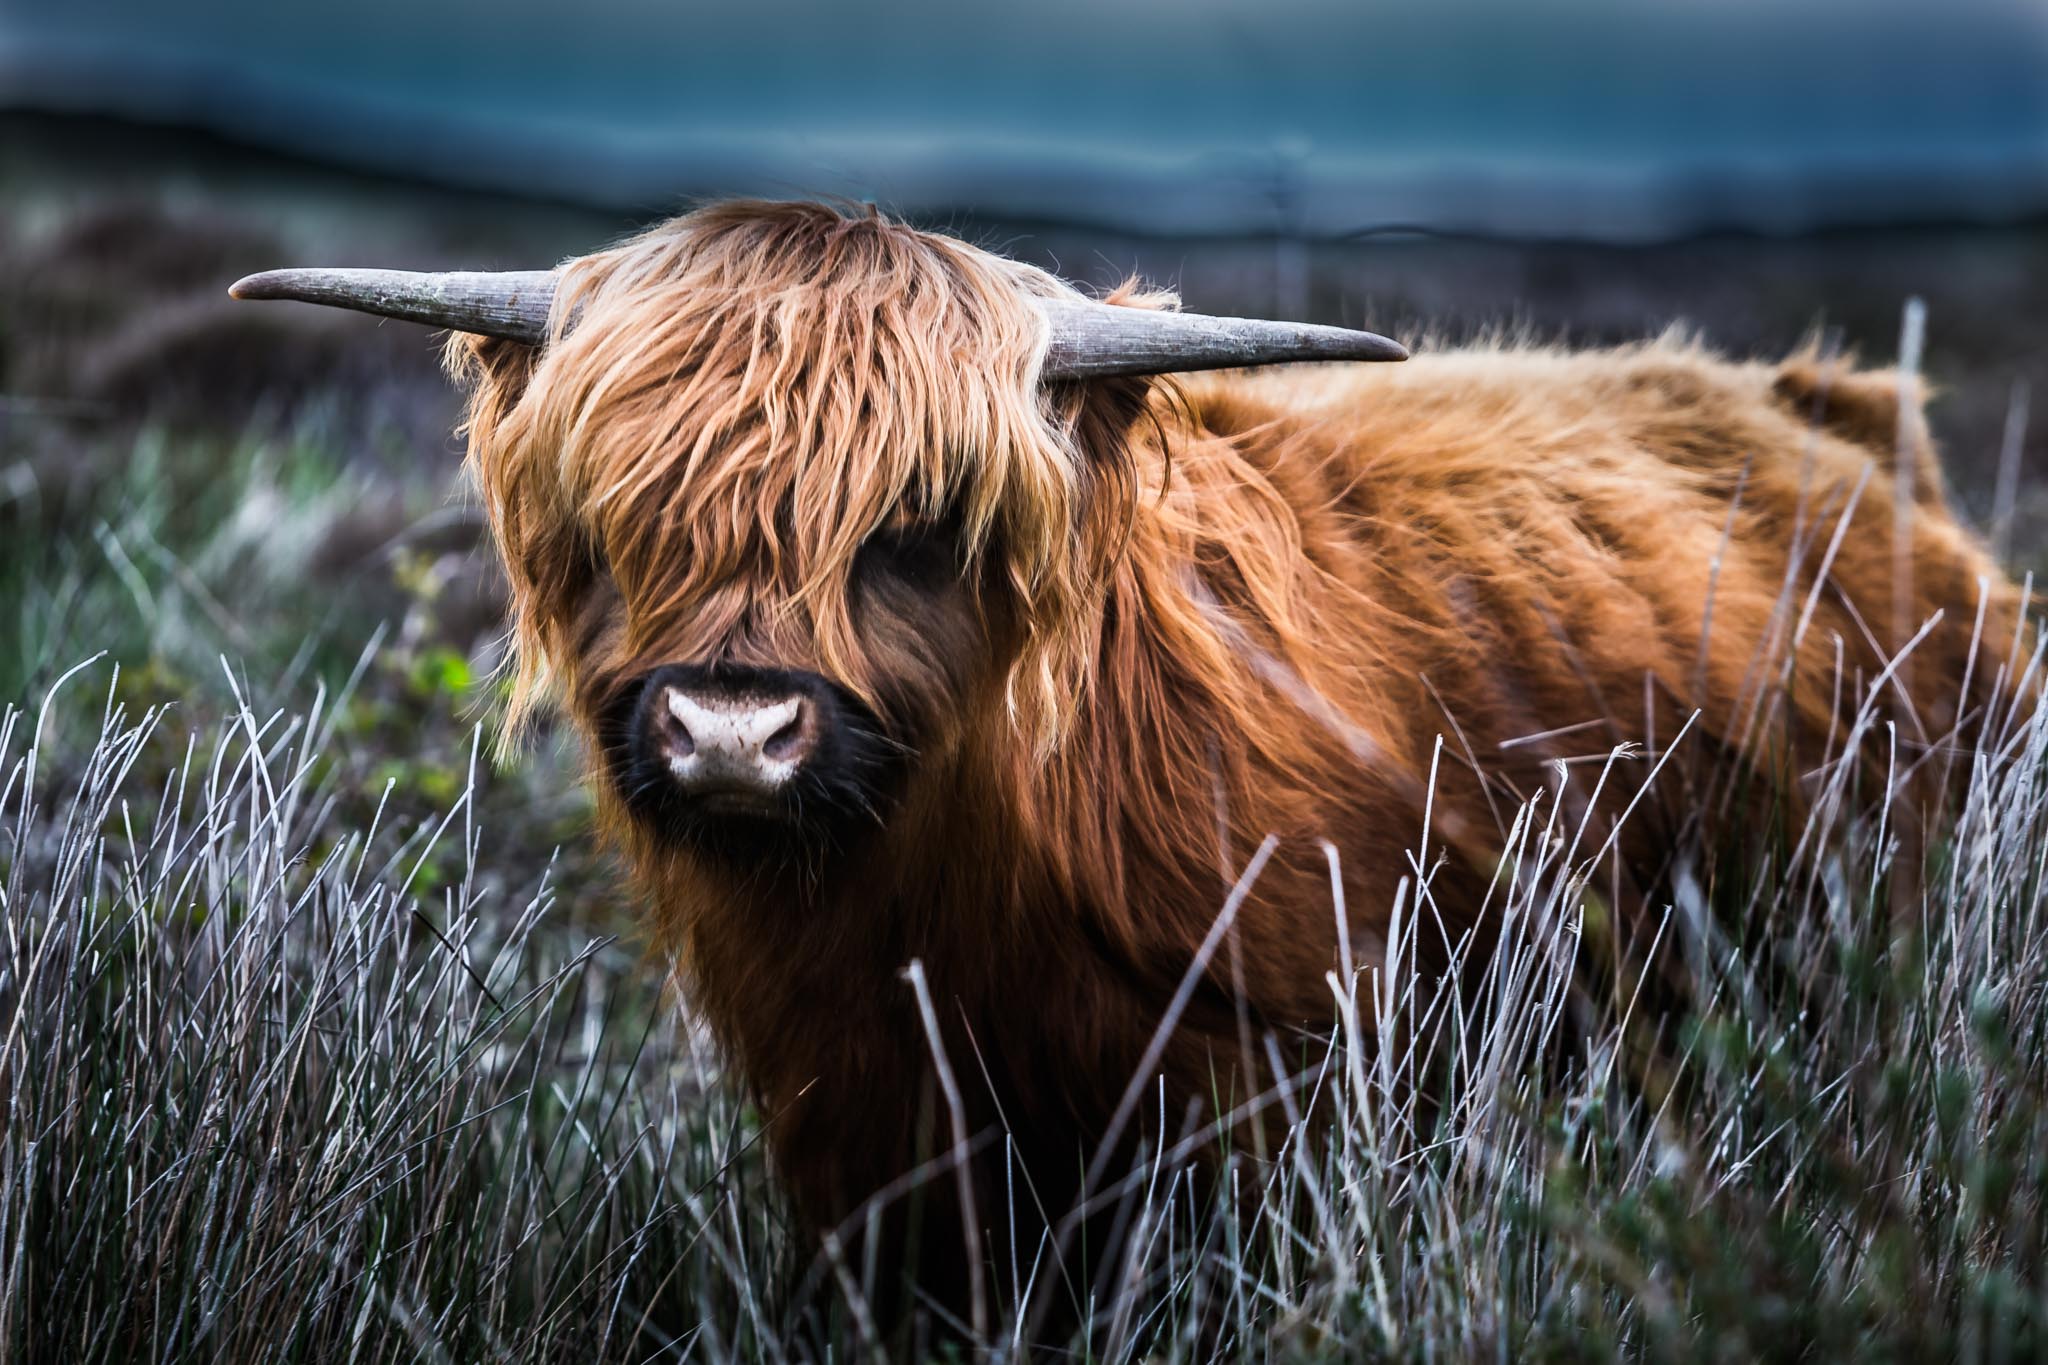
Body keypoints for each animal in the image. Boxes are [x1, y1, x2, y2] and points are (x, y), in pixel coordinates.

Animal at [232, 199, 2027, 1339]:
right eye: (625, 520)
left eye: (918, 523)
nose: (732, 732)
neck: (938, 912)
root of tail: (1833, 412)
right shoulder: (864, 1138)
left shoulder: (1278, 1097)